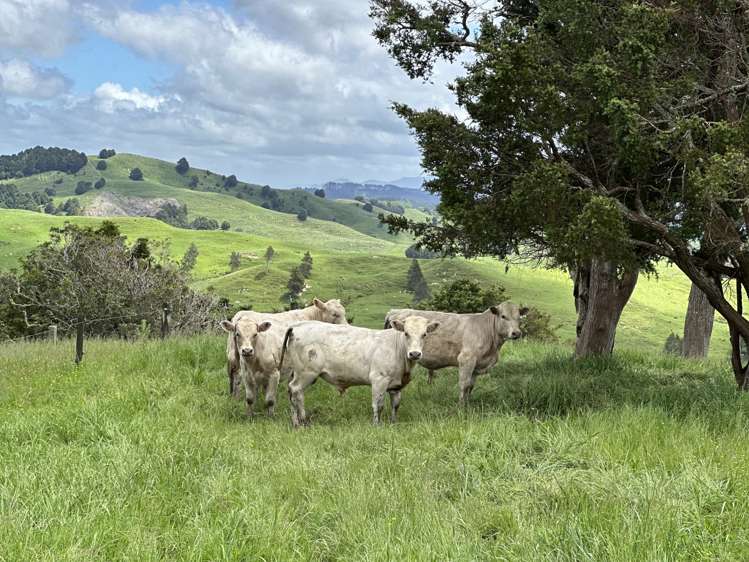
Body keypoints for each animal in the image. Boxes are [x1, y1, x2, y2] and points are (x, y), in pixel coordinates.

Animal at [281, 316, 440, 427]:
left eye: (424, 334)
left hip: (298, 373)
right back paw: (302, 421)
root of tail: (298, 325)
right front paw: (377, 425)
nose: (415, 354)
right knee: (296, 391)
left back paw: (295, 422)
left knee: (291, 392)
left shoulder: (396, 385)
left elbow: (395, 405)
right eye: (406, 333)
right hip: (307, 372)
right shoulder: (379, 380)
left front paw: (393, 423)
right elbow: (378, 405)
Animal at [384, 302, 528, 405]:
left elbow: (470, 386)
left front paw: (467, 405)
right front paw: (460, 407)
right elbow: (464, 385)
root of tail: (395, 311)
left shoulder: (476, 365)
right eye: (503, 316)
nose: (516, 333)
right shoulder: (466, 359)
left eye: (519, 317)